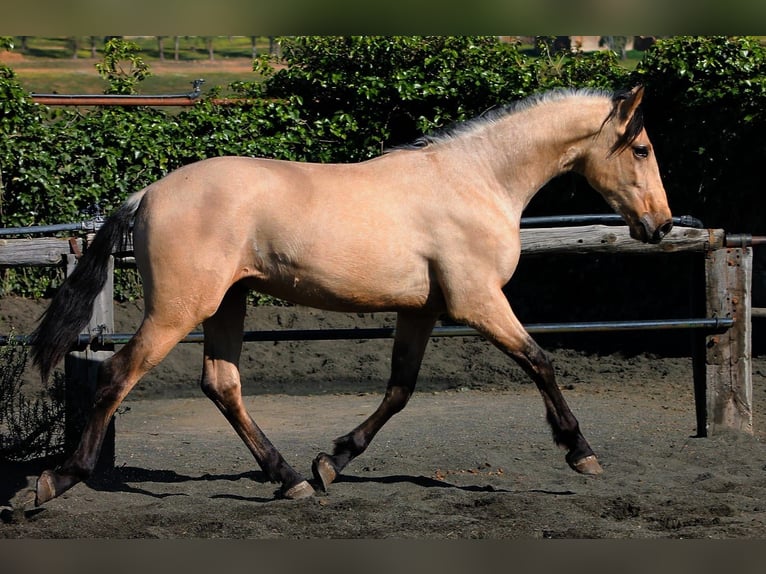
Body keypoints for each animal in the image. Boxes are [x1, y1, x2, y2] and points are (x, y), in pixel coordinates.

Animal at [33, 84, 676, 504]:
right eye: (642, 149)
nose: (661, 225)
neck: (478, 180)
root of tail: (147, 193)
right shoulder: (478, 301)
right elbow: (539, 360)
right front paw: (580, 452)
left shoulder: (423, 310)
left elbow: (400, 389)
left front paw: (331, 463)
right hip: (177, 310)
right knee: (119, 374)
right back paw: (57, 480)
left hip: (227, 303)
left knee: (221, 383)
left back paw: (291, 478)